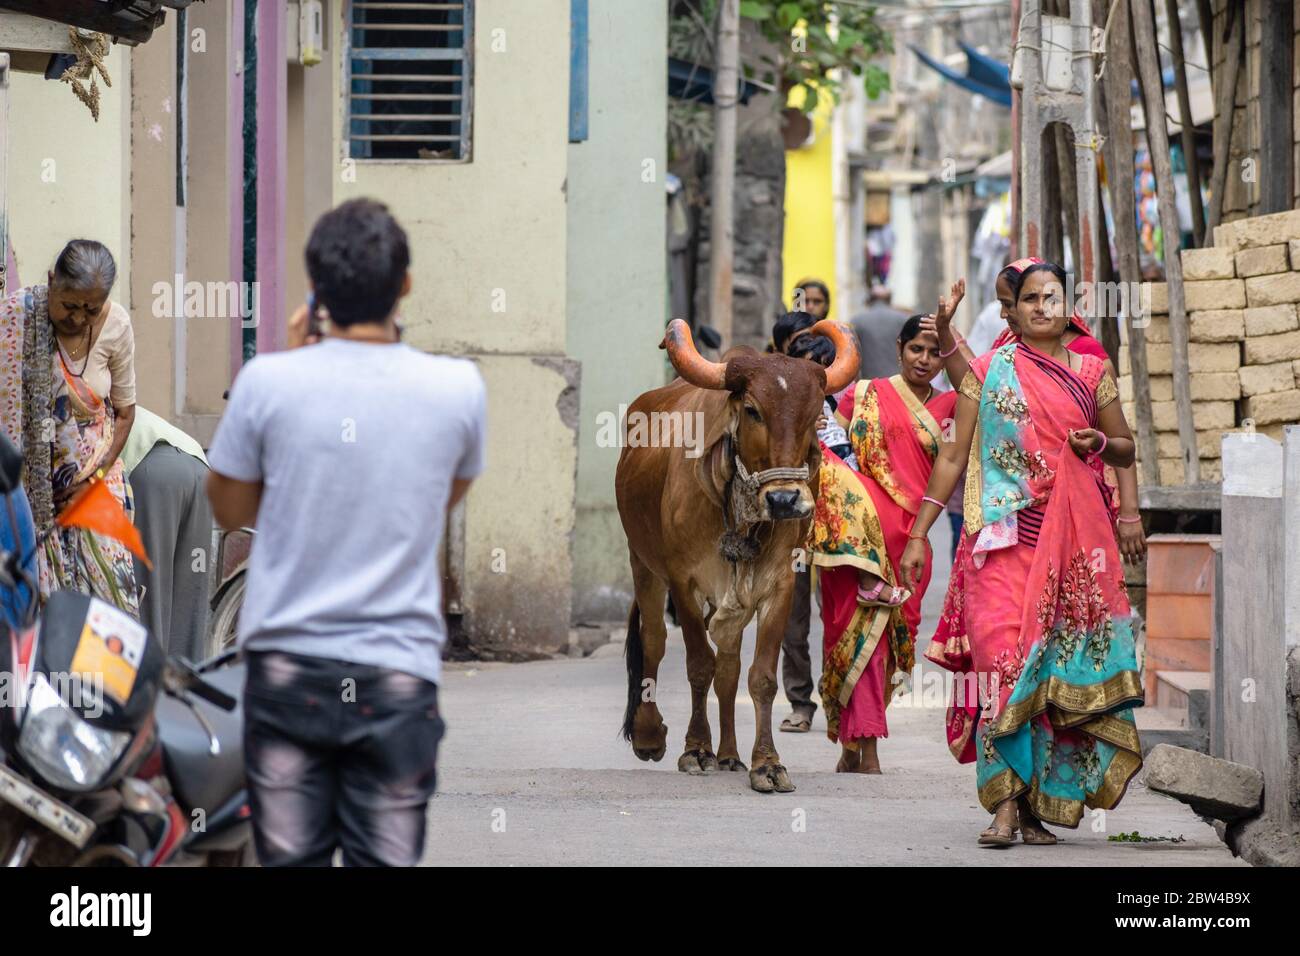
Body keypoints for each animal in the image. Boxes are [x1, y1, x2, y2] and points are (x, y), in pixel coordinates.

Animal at [613, 321, 857, 790]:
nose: (784, 500)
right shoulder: (683, 583)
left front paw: (767, 764)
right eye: (752, 410)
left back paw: (729, 754)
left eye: (815, 415)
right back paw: (653, 736)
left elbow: (758, 678)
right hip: (643, 565)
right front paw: (695, 750)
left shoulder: (779, 586)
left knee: (727, 667)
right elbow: (697, 665)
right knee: (655, 643)